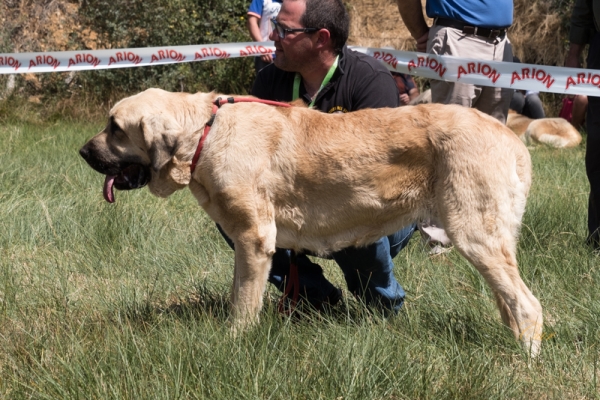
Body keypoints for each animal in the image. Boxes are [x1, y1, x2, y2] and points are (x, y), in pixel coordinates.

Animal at [78, 88, 544, 356]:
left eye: (115, 128)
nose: (82, 152)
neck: (206, 133)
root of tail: (510, 138)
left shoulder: (253, 239)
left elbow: (242, 302)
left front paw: (233, 343)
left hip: (476, 236)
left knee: (528, 304)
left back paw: (526, 357)